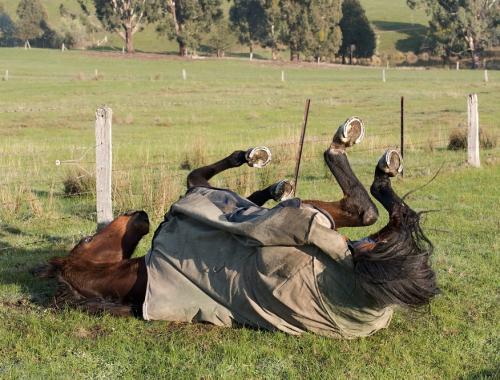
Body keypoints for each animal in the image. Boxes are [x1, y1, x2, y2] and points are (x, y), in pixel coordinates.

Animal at [35, 117, 440, 336]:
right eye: (89, 237)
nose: (139, 214)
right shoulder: (197, 195)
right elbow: (200, 174)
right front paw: (255, 161)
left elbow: (240, 189)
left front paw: (270, 179)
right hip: (313, 220)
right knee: (364, 207)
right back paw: (354, 148)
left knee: (370, 211)